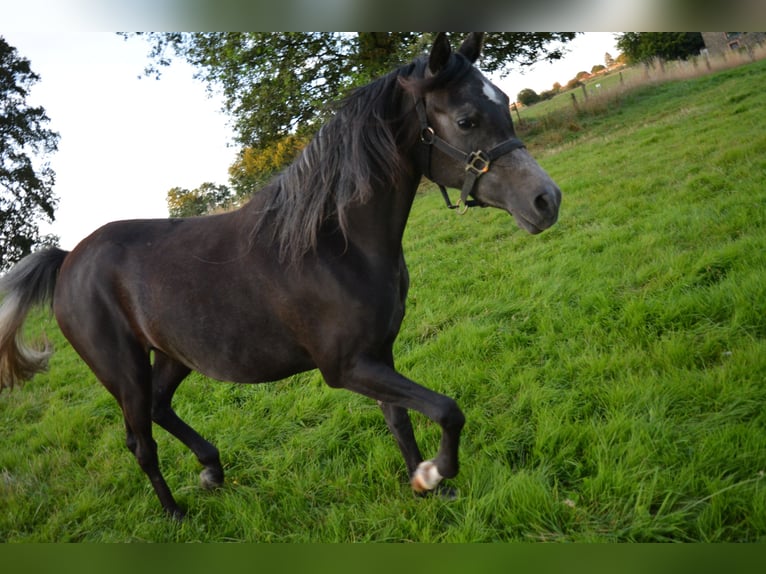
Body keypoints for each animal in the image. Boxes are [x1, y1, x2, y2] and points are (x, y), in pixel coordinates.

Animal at [0, 32, 564, 520]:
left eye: (504, 101)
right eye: (466, 119)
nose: (546, 200)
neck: (335, 245)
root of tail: (70, 257)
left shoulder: (379, 354)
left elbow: (401, 419)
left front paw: (425, 486)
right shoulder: (345, 367)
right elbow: (448, 410)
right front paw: (435, 473)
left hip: (174, 354)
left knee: (161, 407)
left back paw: (212, 470)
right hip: (123, 371)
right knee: (141, 441)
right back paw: (175, 512)